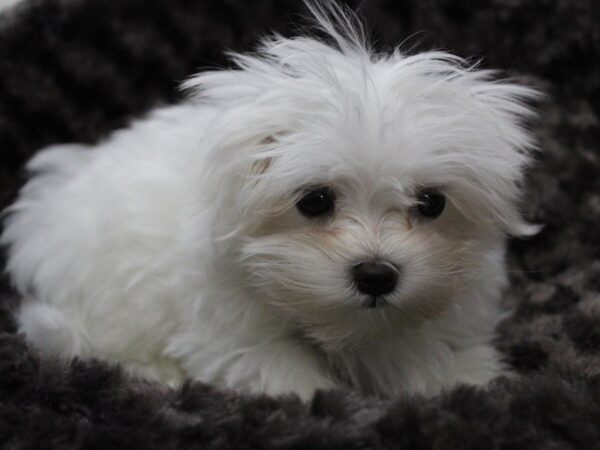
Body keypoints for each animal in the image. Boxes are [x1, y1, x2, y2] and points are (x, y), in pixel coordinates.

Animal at [2, 0, 540, 400]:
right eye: (315, 201)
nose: (376, 274)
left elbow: (432, 353)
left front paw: (462, 380)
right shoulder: (229, 329)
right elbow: (278, 372)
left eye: (431, 204)